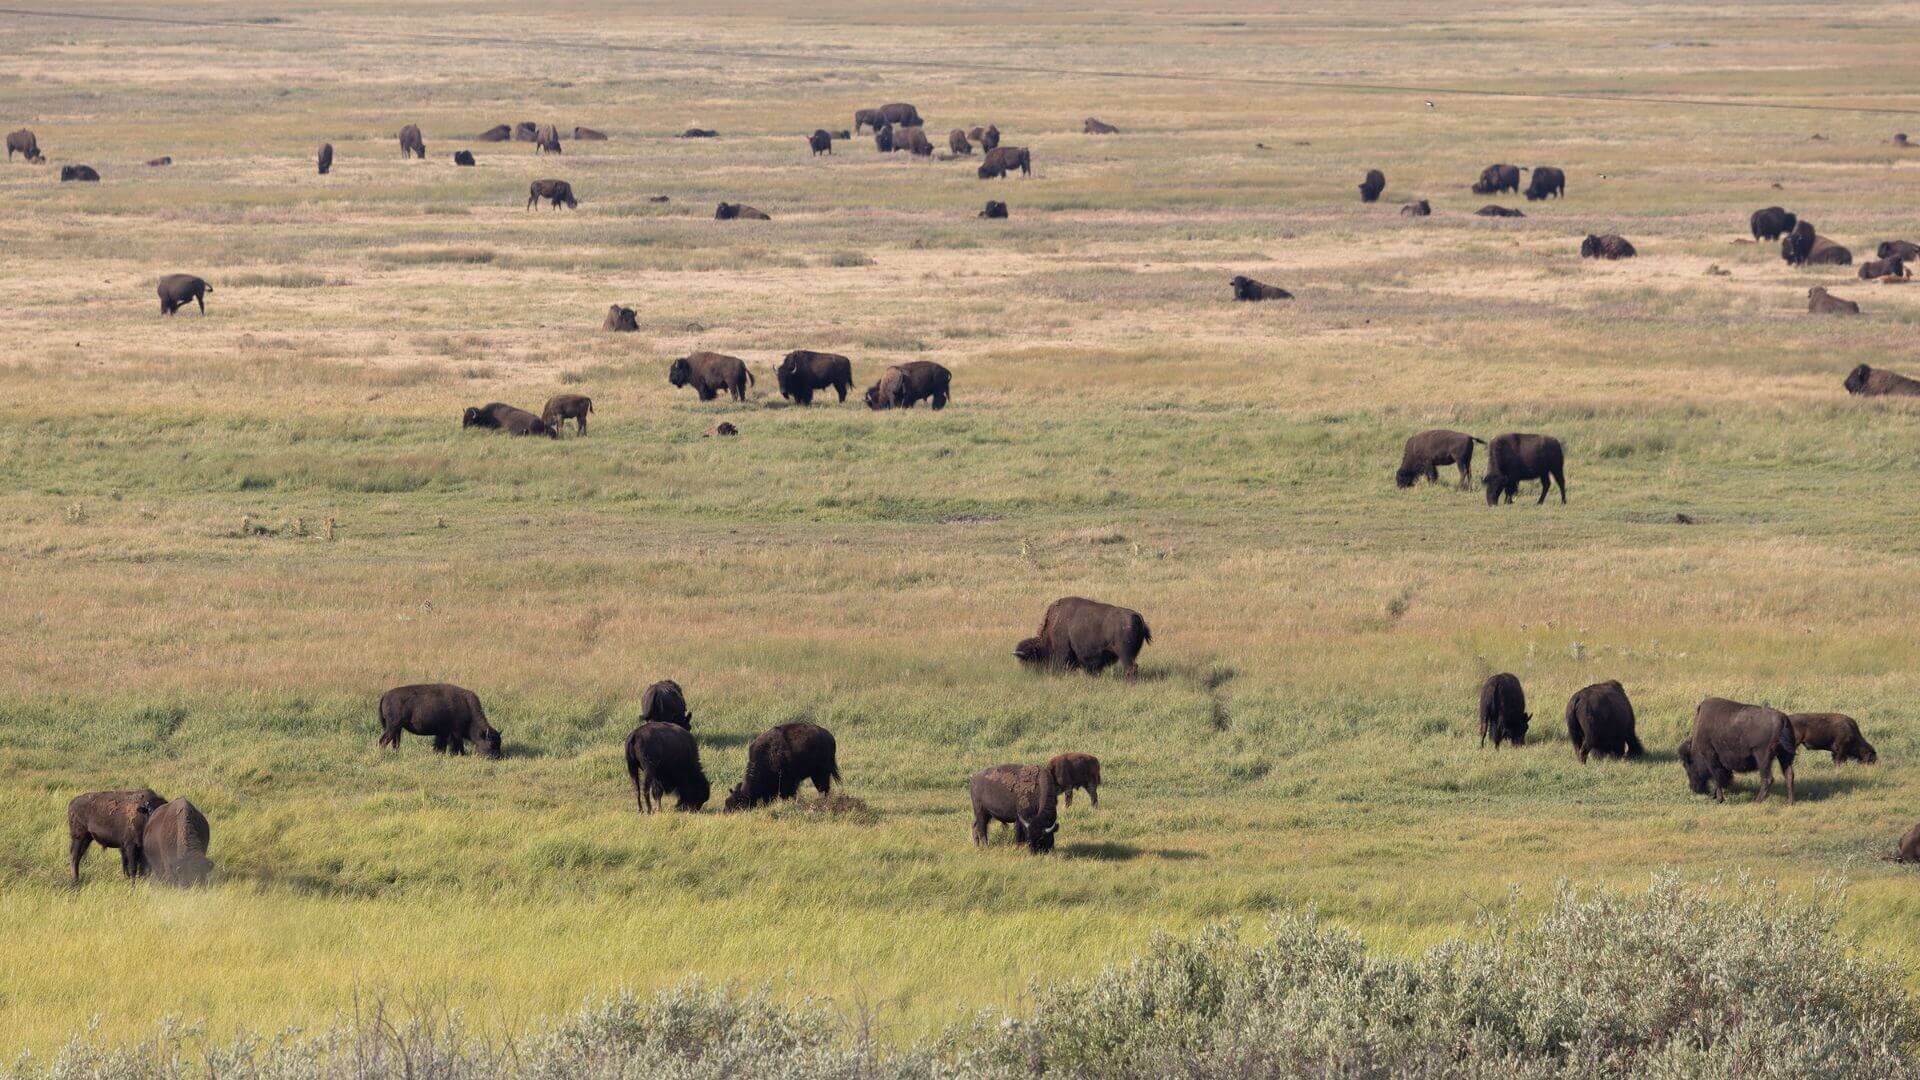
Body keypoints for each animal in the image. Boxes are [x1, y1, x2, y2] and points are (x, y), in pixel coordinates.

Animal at [1014, 596, 1152, 682]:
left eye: (1029, 660)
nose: (1032, 674)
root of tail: (1137, 615)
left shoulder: (1062, 653)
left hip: (1125, 654)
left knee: (1131, 668)